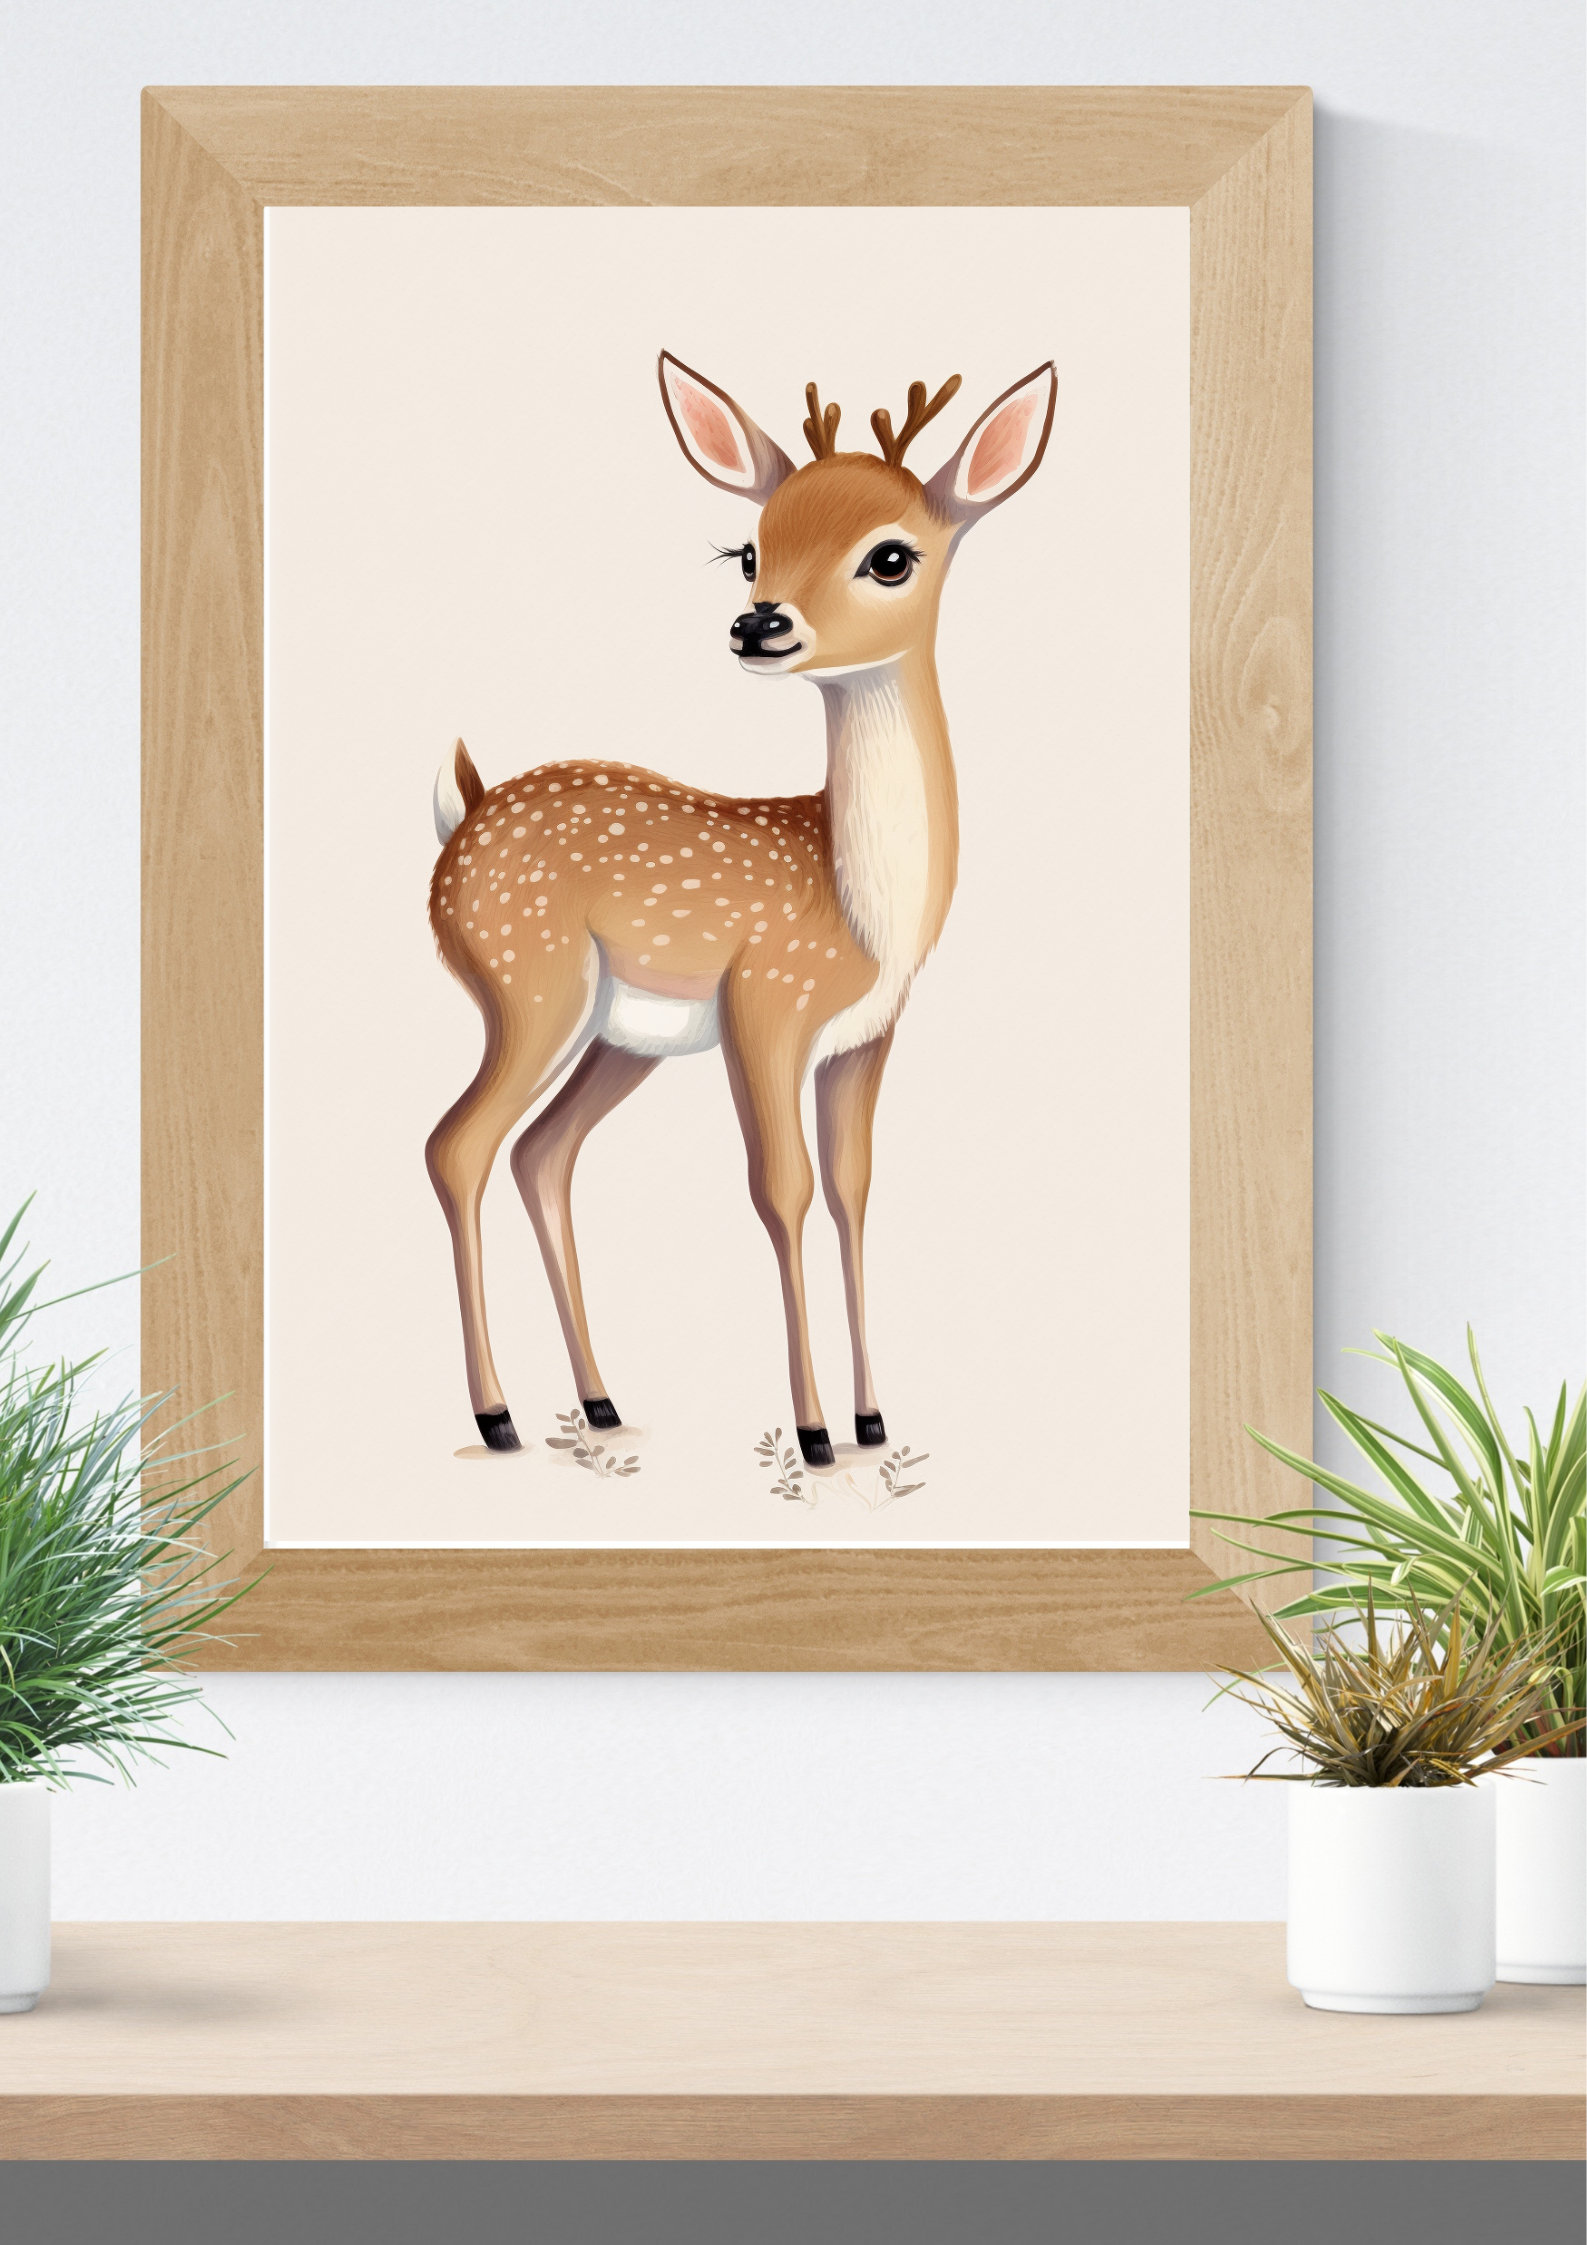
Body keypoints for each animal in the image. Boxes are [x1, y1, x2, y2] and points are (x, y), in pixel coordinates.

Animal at [426, 351, 1057, 1465]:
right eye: (750, 549)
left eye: (891, 555)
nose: (759, 623)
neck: (858, 911)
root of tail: (462, 812)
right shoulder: (765, 1003)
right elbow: (783, 1189)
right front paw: (812, 1433)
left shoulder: (865, 1035)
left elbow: (852, 1188)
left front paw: (873, 1419)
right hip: (529, 983)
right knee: (457, 1146)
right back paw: (496, 1417)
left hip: (616, 1035)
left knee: (542, 1154)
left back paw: (600, 1403)